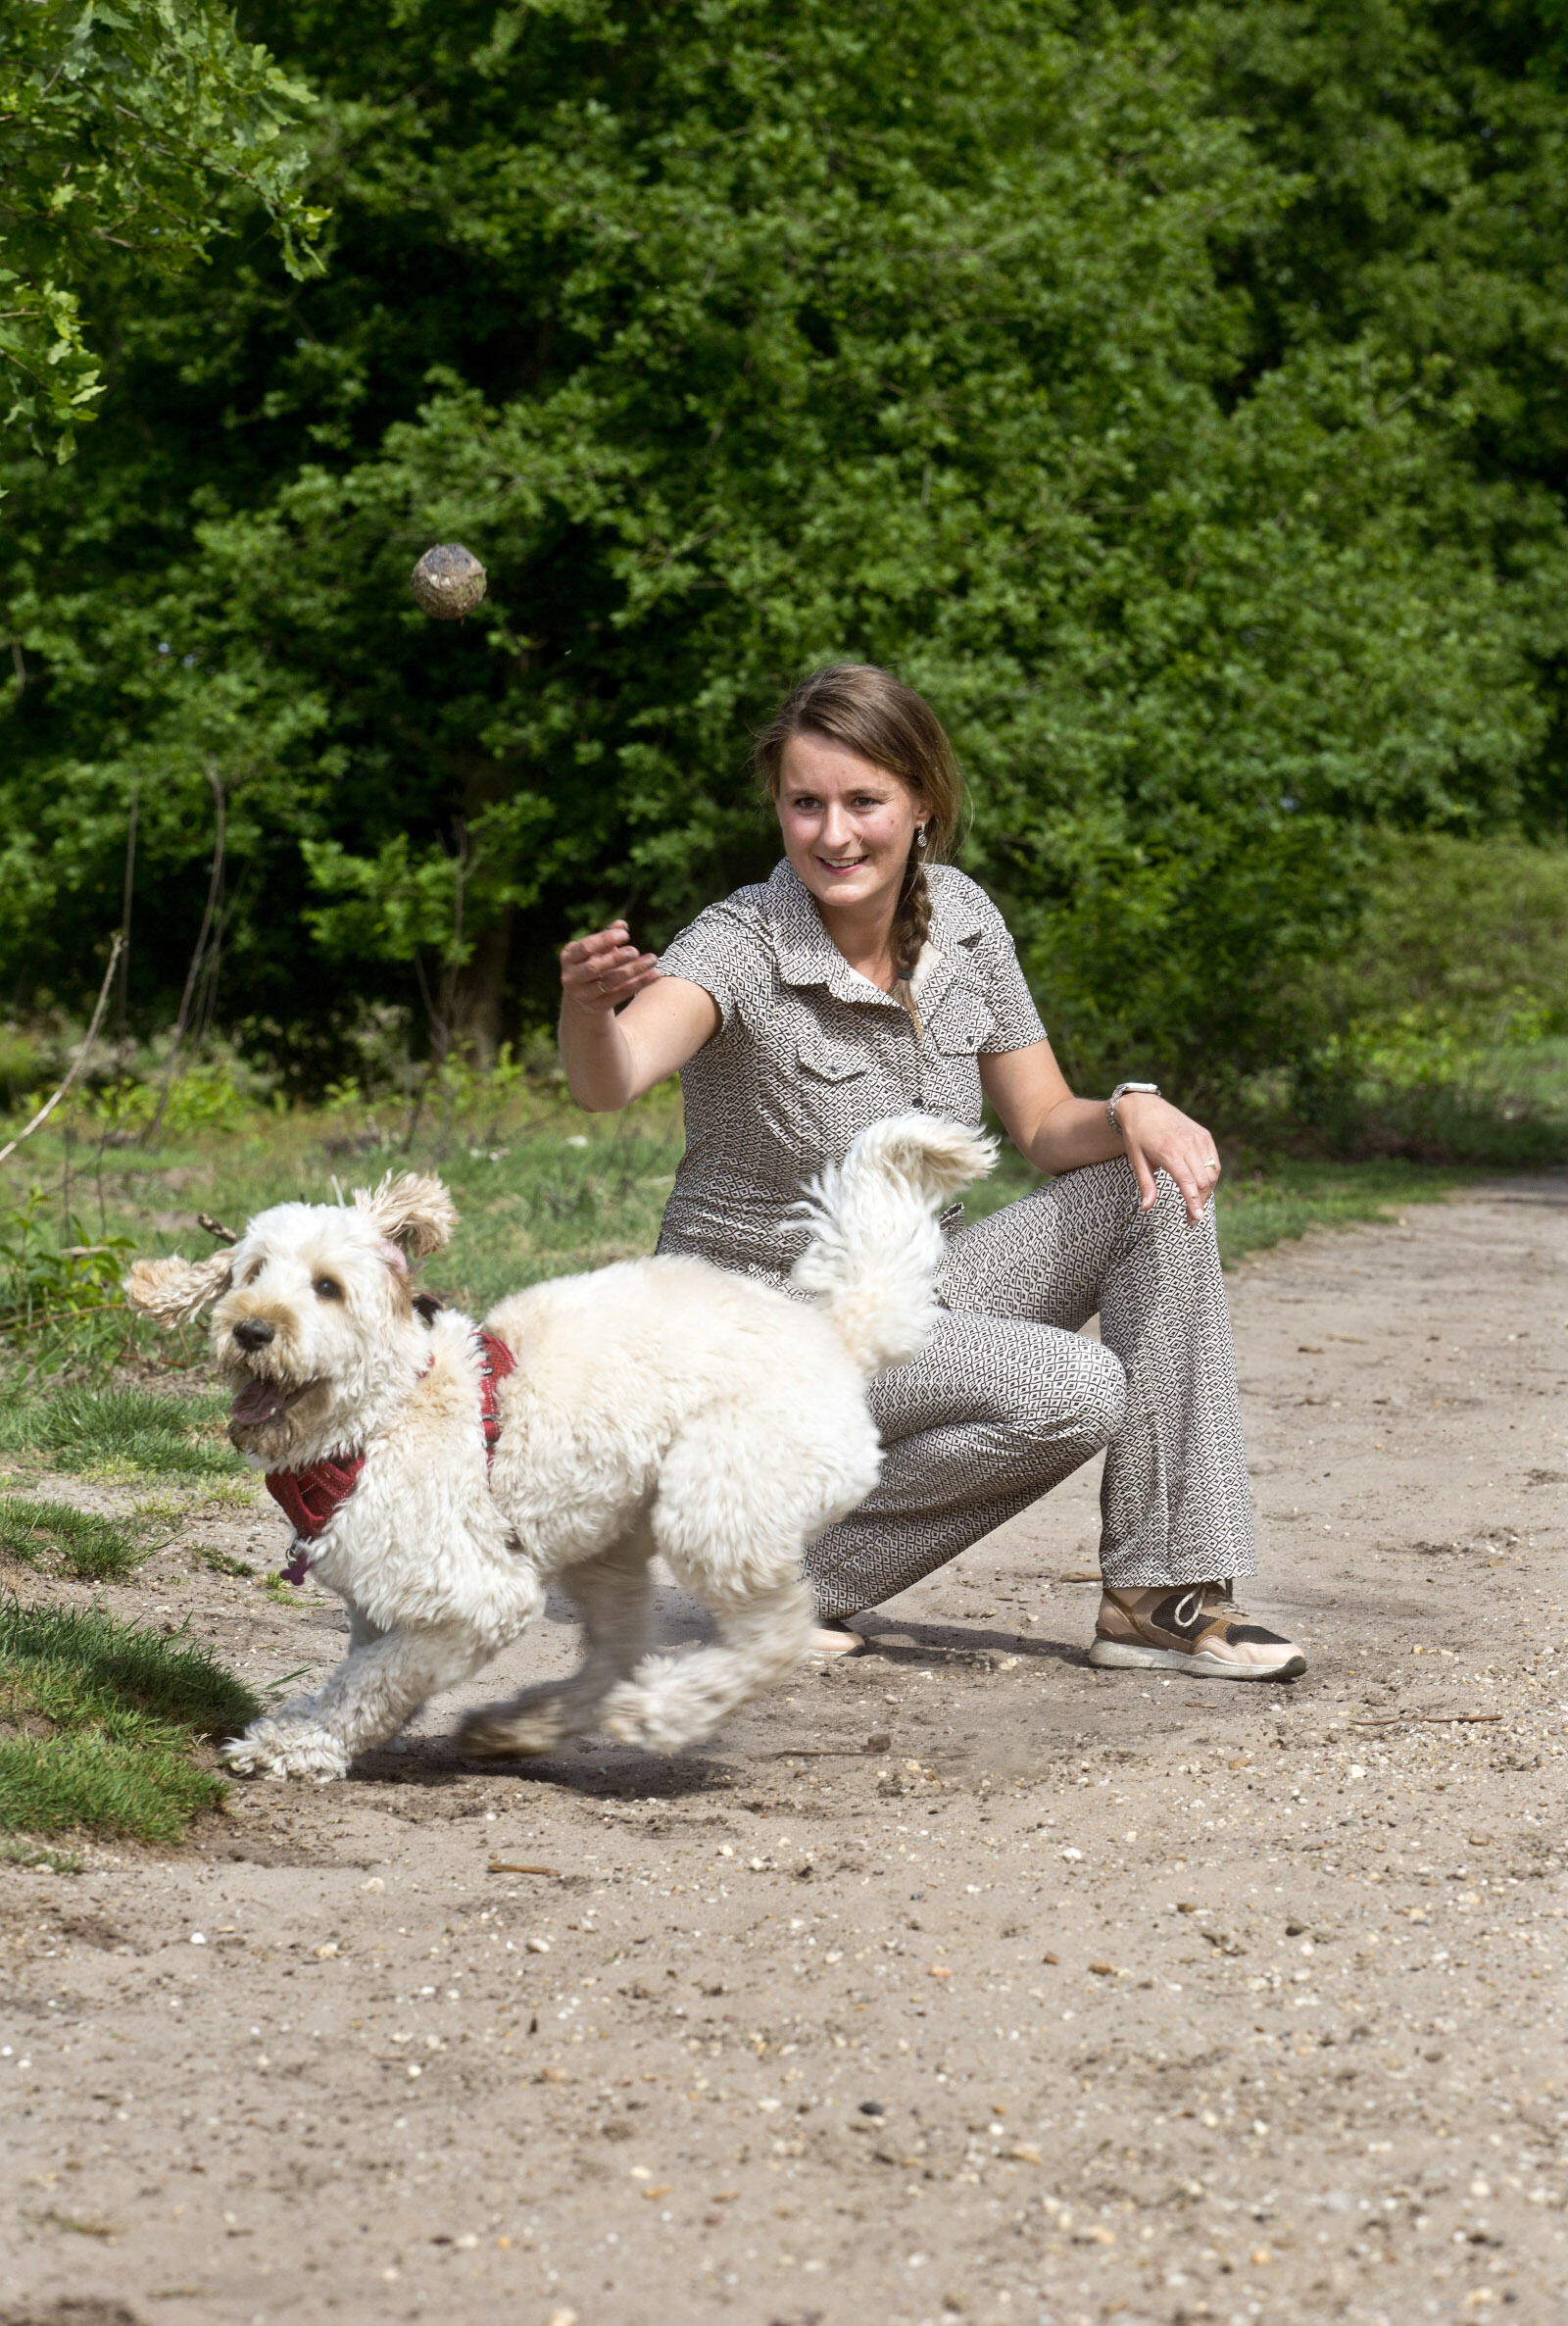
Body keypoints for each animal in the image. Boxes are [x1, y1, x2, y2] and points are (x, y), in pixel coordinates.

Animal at [131, 1112, 991, 1776]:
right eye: (250, 1271)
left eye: (327, 1287)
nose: (250, 1329)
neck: (387, 1413)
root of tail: (833, 1334)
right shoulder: (380, 1599)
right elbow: (362, 1671)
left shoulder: (476, 1596)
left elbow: (373, 1683)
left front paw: (296, 1743)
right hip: (607, 1541)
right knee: (618, 1650)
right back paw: (523, 1726)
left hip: (717, 1507)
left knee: (773, 1636)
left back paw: (662, 1712)